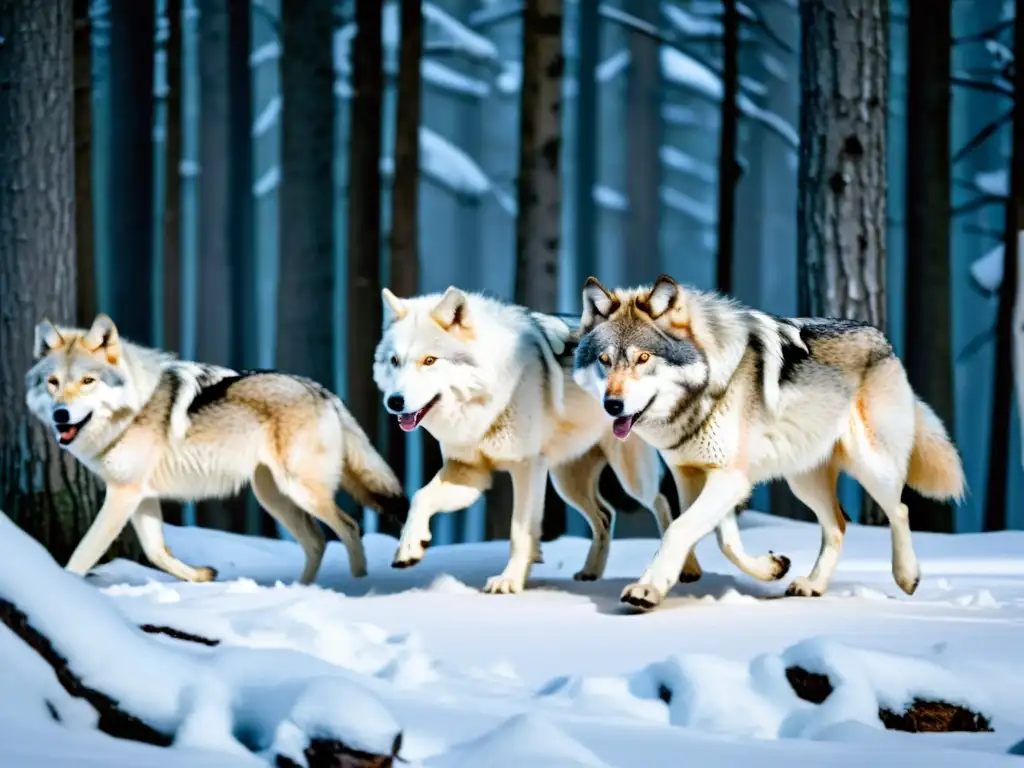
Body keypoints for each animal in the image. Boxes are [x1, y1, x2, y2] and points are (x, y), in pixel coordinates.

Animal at [372, 286, 786, 593]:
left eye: (429, 361)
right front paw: (409, 548)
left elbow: (520, 531)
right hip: (567, 480)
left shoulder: (527, 468)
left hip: (628, 478)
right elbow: (421, 498)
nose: (394, 402)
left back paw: (688, 569)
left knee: (662, 506)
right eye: (394, 361)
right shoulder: (470, 471)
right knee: (605, 514)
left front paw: (509, 582)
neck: (489, 394)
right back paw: (591, 572)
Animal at [577, 276, 966, 614]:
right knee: (838, 525)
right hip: (802, 480)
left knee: (900, 510)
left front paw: (646, 590)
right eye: (605, 360)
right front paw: (772, 568)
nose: (612, 405)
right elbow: (724, 542)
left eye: (643, 358)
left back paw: (907, 576)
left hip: (870, 465)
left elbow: (678, 530)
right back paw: (813, 585)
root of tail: (883, 340)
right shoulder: (696, 477)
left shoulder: (730, 478)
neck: (710, 388)